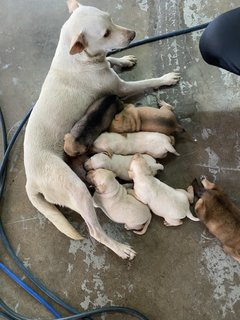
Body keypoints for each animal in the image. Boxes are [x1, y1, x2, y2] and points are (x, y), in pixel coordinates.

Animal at [23, 0, 180, 260]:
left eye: (111, 19)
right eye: (105, 33)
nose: (133, 34)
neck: (79, 59)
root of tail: (30, 181)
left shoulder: (105, 63)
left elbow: (110, 57)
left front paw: (123, 60)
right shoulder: (122, 88)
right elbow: (147, 82)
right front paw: (165, 78)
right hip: (77, 190)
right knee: (95, 230)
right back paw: (120, 248)